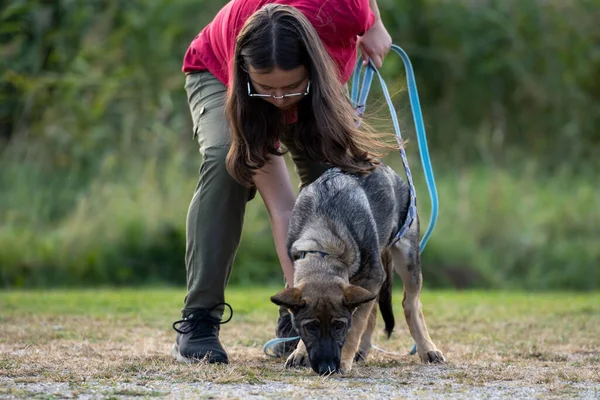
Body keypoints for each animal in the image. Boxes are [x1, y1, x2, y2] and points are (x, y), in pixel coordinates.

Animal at [272, 163, 446, 376]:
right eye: (311, 326)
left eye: (339, 326)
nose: (327, 368)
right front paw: (300, 352)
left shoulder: (372, 277)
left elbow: (356, 326)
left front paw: (344, 360)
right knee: (372, 310)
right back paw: (362, 350)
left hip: (408, 257)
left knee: (410, 304)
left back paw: (427, 348)